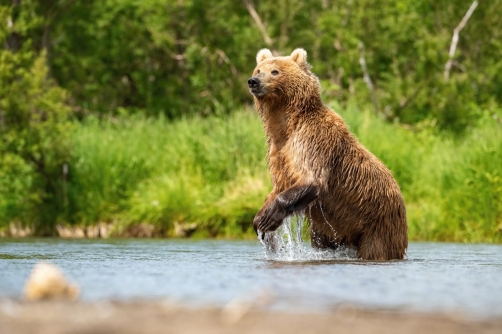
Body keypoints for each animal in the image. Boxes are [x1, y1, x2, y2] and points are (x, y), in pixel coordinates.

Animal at [247, 47, 408, 260]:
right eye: (258, 70)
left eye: (275, 71)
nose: (253, 81)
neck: (286, 124)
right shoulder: (278, 151)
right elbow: (280, 184)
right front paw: (259, 220)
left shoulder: (312, 140)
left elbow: (312, 178)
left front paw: (268, 219)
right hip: (330, 230)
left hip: (379, 222)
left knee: (376, 249)